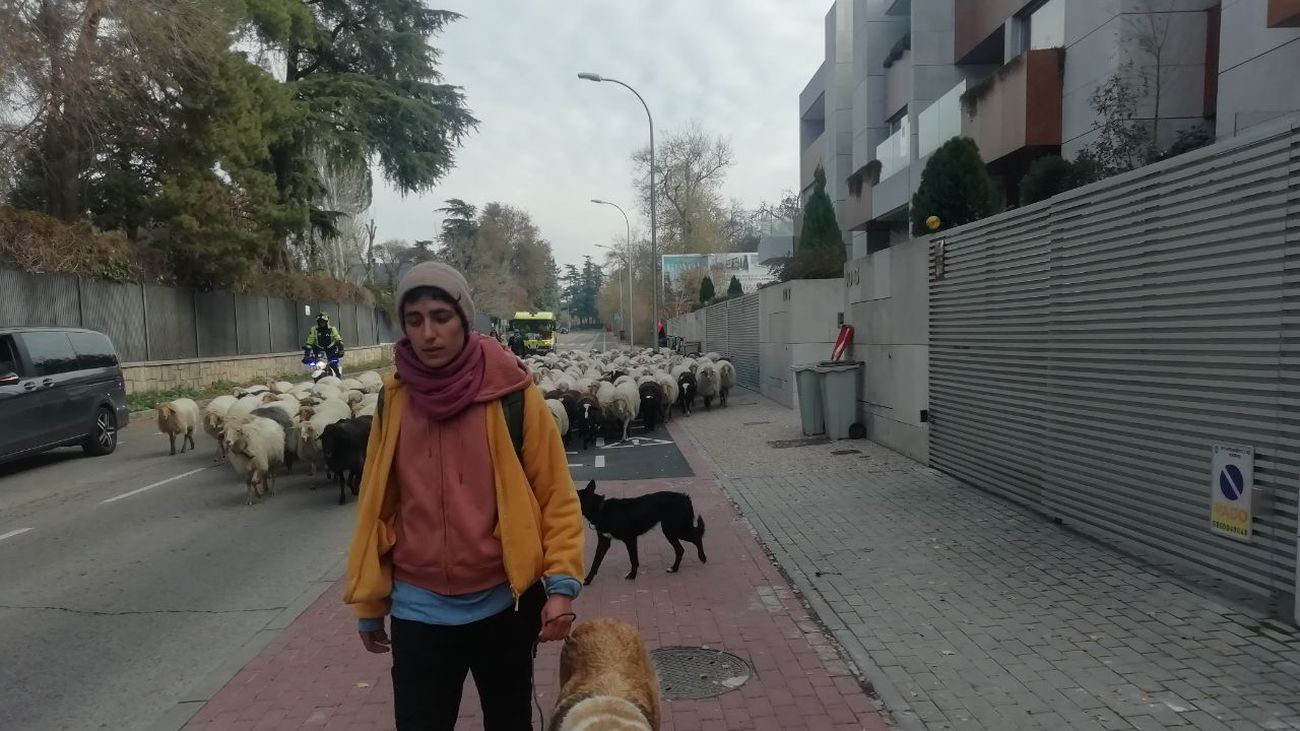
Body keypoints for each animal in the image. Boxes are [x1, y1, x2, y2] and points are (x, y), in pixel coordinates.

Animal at [577, 478, 707, 580]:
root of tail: (685, 497)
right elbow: (595, 562)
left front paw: (632, 575)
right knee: (680, 549)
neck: (601, 509)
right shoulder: (604, 542)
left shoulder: (630, 539)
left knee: (696, 537)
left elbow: (633, 559)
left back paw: (702, 558)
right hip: (670, 530)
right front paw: (587, 580)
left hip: (676, 529)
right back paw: (674, 569)